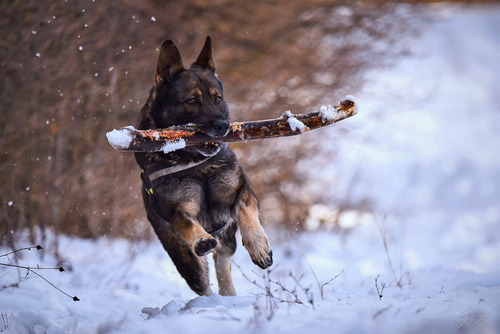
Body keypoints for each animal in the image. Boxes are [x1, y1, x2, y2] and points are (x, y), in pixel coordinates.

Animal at [134, 36, 274, 296]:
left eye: (217, 98)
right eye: (191, 101)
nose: (223, 126)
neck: (196, 164)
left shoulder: (244, 190)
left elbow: (244, 210)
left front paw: (258, 246)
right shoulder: (177, 211)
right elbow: (188, 223)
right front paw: (201, 238)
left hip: (227, 241)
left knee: (223, 264)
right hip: (187, 263)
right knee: (204, 281)